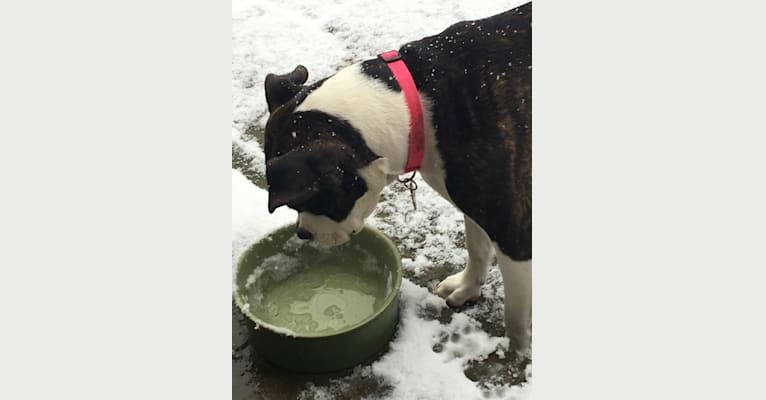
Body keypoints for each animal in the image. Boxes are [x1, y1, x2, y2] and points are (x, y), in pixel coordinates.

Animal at [260, 2, 532, 350]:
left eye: (310, 201)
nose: (303, 233)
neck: (416, 104)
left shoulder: (512, 229)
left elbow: (516, 315)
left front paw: (519, 351)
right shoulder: (475, 199)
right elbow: (477, 246)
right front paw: (467, 287)